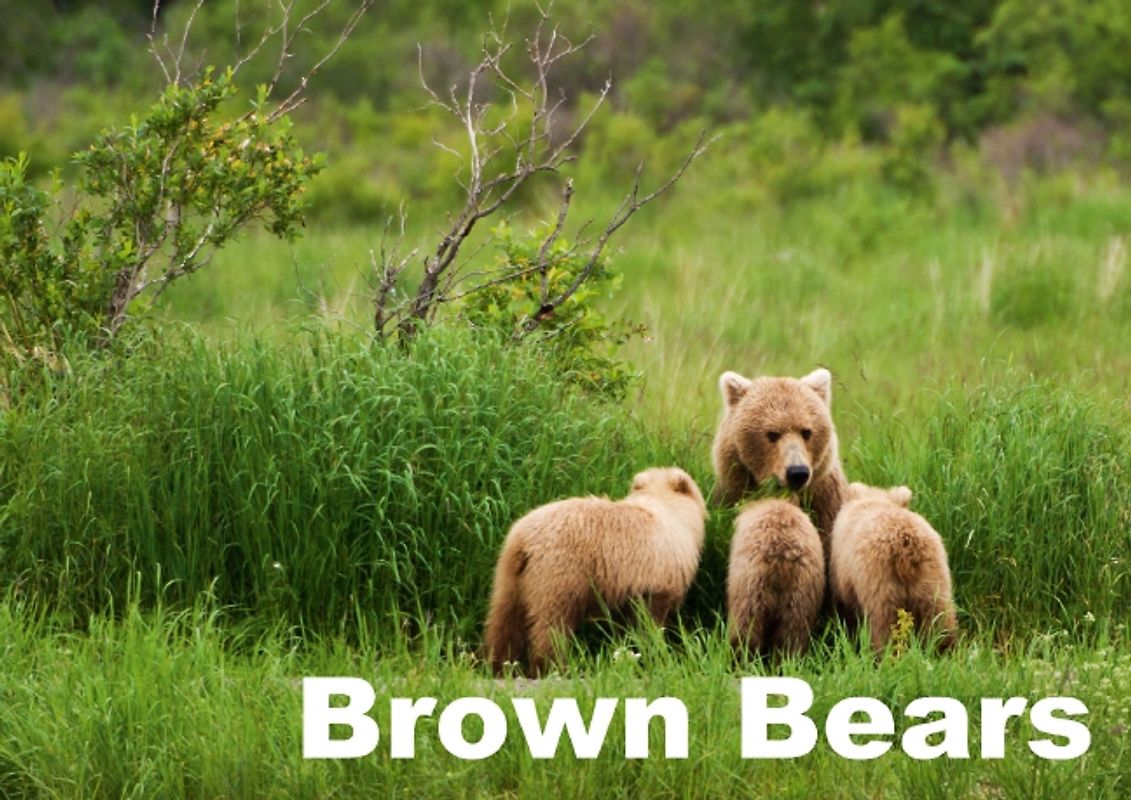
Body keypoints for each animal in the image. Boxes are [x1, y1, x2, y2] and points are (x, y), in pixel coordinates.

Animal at [484, 467, 708, 676]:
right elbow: (651, 618)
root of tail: (523, 541)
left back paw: (497, 664)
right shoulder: (659, 573)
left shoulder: (625, 587)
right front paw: (655, 649)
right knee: (551, 624)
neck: (672, 511)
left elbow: (624, 623)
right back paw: (552, 667)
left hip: (509, 574)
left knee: (504, 619)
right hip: (561, 571)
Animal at [829, 482, 958, 654]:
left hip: (880, 583)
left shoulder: (844, 573)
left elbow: (845, 606)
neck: (875, 501)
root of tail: (906, 547)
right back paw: (944, 650)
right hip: (933, 577)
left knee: (884, 624)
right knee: (939, 618)